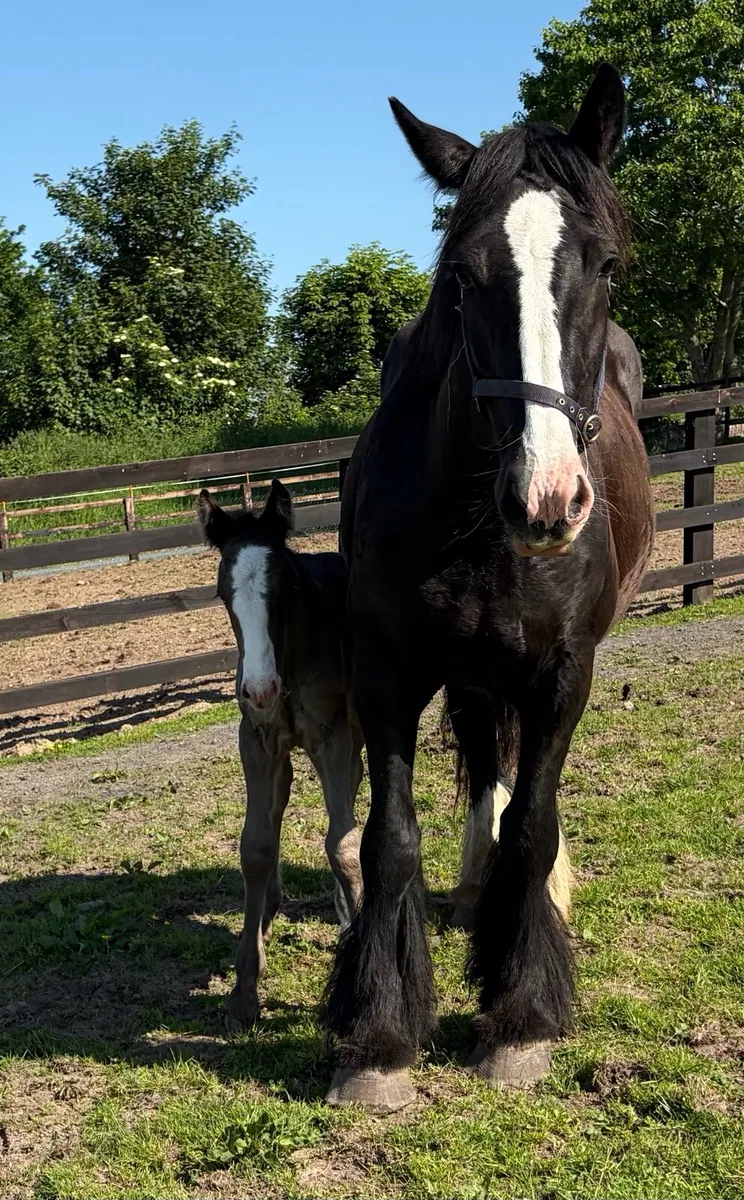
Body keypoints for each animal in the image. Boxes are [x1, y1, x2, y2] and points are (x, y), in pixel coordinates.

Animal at [197, 480, 364, 1031]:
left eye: (286, 587)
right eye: (223, 594)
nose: (260, 688)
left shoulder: (332, 735)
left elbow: (342, 845)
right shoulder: (256, 738)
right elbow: (256, 846)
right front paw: (244, 989)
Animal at [324, 64, 654, 1113]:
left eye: (607, 266)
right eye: (459, 279)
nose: (548, 498)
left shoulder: (560, 673)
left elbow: (534, 824)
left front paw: (521, 1016)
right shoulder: (387, 674)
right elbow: (390, 839)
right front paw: (380, 1033)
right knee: (481, 756)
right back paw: (477, 896)